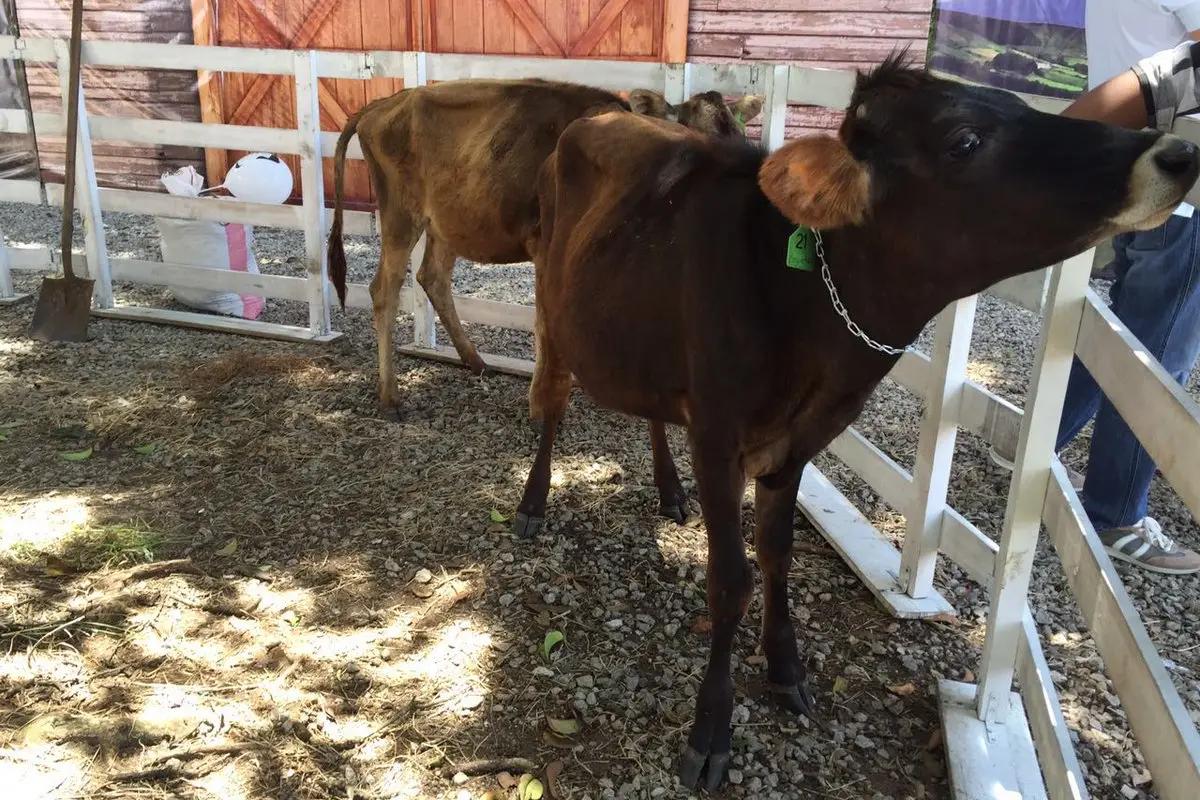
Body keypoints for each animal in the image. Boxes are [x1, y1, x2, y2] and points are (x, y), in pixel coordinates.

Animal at [324, 77, 763, 422]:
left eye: (740, 137)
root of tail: (384, 102)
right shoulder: (546, 245)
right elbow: (546, 324)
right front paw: (542, 405)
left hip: (448, 221)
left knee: (432, 277)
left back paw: (475, 361)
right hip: (401, 213)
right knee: (384, 289)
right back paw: (391, 397)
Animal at [516, 53, 1200, 791]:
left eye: (1018, 107)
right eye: (965, 140)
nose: (1176, 152)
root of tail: (600, 115)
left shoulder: (796, 445)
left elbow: (778, 554)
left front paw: (786, 667)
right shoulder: (719, 437)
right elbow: (731, 581)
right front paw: (711, 730)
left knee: (648, 410)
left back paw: (669, 492)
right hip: (554, 306)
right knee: (552, 398)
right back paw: (533, 501)